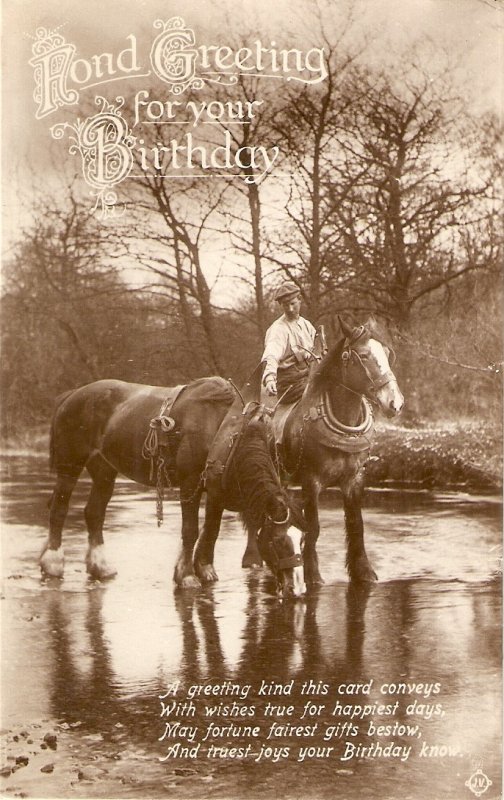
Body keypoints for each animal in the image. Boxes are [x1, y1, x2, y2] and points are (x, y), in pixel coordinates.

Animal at [239, 318, 402, 588]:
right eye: (364, 356)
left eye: (388, 354)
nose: (395, 403)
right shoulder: (310, 481)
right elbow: (312, 527)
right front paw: (312, 574)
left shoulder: (354, 479)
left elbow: (357, 524)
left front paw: (363, 572)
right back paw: (252, 558)